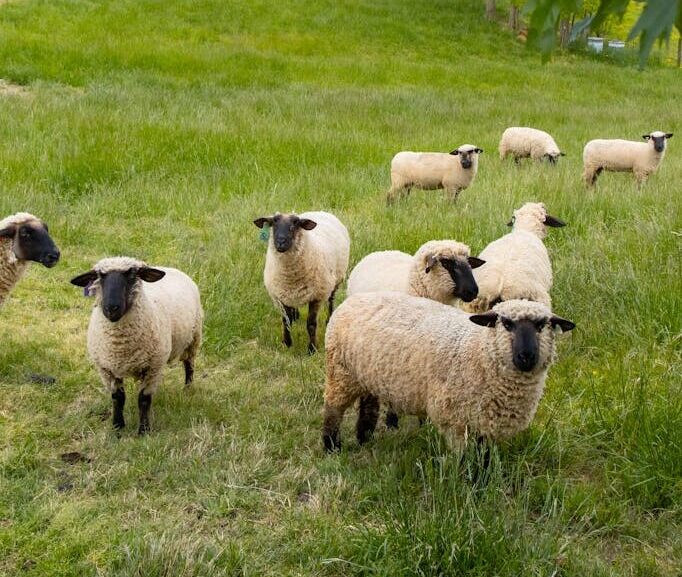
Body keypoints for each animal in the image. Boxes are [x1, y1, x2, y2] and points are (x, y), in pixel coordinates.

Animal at [70, 256, 202, 432]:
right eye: (100, 276)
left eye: (131, 274)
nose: (111, 308)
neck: (120, 345)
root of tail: (170, 268)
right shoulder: (106, 369)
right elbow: (117, 399)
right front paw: (117, 427)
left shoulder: (153, 367)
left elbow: (144, 399)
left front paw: (144, 430)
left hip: (194, 338)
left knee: (189, 365)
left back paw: (187, 389)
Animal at [251, 212, 350, 354]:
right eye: (273, 224)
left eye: (294, 225)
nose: (280, 243)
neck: (290, 277)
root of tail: (320, 211)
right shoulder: (281, 295)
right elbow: (285, 321)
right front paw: (287, 343)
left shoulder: (317, 296)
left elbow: (311, 324)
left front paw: (312, 349)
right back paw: (295, 316)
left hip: (335, 280)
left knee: (331, 300)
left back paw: (329, 319)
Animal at [322, 294, 572, 452]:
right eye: (507, 324)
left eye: (541, 325)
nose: (527, 356)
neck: (478, 349)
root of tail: (353, 299)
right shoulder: (453, 418)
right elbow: (463, 458)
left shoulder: (486, 421)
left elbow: (483, 457)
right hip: (340, 372)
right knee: (333, 409)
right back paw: (332, 447)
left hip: (367, 375)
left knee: (368, 404)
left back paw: (364, 438)